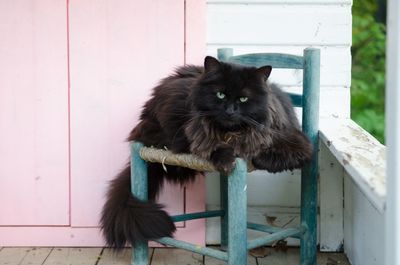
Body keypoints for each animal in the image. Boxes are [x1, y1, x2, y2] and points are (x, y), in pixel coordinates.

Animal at [100, 55, 312, 248]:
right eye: (220, 95)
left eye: (243, 98)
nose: (230, 110)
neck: (230, 133)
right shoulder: (192, 135)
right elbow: (211, 147)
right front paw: (226, 159)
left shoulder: (298, 143)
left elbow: (269, 151)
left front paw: (253, 155)